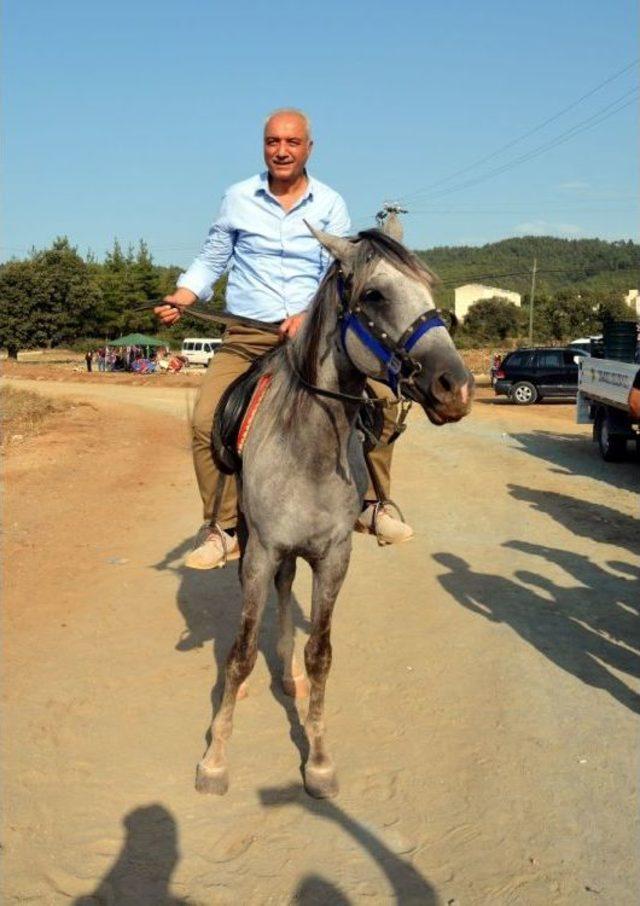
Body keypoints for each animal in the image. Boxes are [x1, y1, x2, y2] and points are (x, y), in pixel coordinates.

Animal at [198, 222, 472, 796]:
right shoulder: (261, 553)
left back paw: (288, 678)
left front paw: (319, 761)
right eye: (375, 295)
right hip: (253, 545)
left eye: (430, 293)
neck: (309, 447)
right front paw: (215, 758)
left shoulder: (333, 557)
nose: (455, 388)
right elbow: (239, 654)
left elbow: (321, 655)